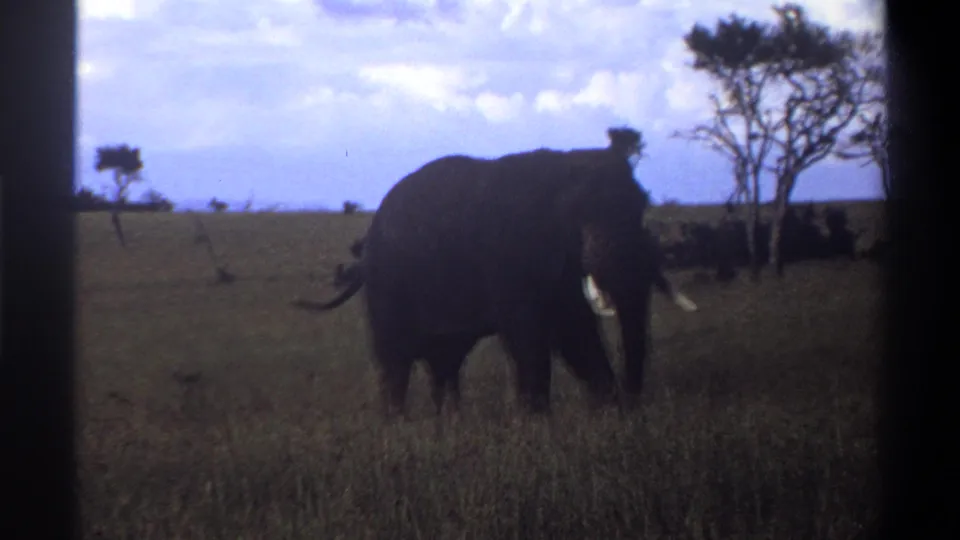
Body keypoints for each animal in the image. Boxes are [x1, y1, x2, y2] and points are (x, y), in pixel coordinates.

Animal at [292, 138, 684, 418]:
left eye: (641, 206)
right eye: (583, 217)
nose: (636, 404)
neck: (564, 168)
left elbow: (576, 334)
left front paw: (610, 414)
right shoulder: (511, 260)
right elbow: (532, 338)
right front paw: (537, 423)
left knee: (445, 363)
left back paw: (449, 422)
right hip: (387, 287)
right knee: (396, 361)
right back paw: (398, 425)